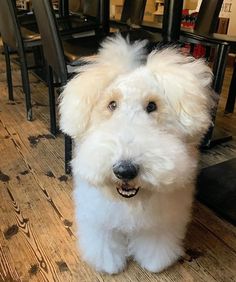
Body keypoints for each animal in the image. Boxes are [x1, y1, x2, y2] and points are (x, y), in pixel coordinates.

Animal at [59, 34, 214, 274]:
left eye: (152, 106)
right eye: (112, 104)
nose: (125, 170)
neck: (131, 202)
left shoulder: (161, 221)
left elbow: (155, 242)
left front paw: (154, 263)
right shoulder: (99, 217)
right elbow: (104, 242)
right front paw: (109, 264)